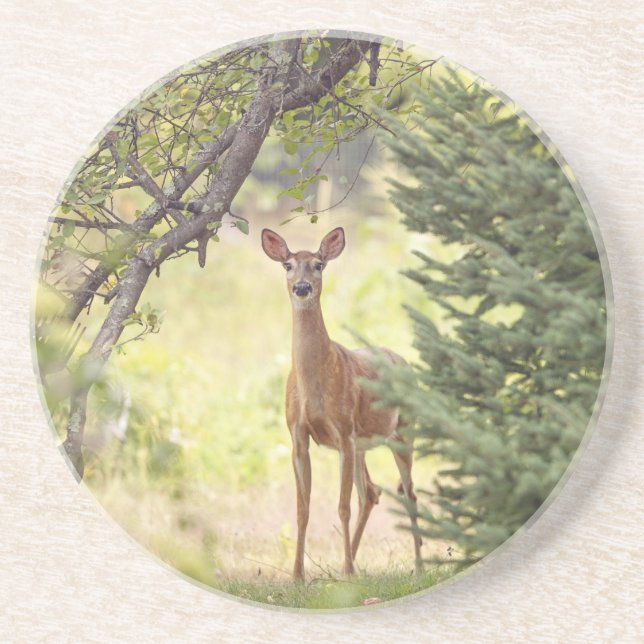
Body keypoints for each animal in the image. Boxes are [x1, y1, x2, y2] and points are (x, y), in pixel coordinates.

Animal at [261, 226, 423, 581]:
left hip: (403, 432)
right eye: (287, 265)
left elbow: (342, 506)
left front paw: (346, 571)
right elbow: (303, 508)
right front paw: (297, 575)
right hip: (363, 444)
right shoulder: (298, 436)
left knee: (409, 493)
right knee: (372, 492)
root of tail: (404, 362)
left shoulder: (343, 431)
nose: (302, 287)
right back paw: (349, 565)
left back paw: (416, 565)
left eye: (319, 264)